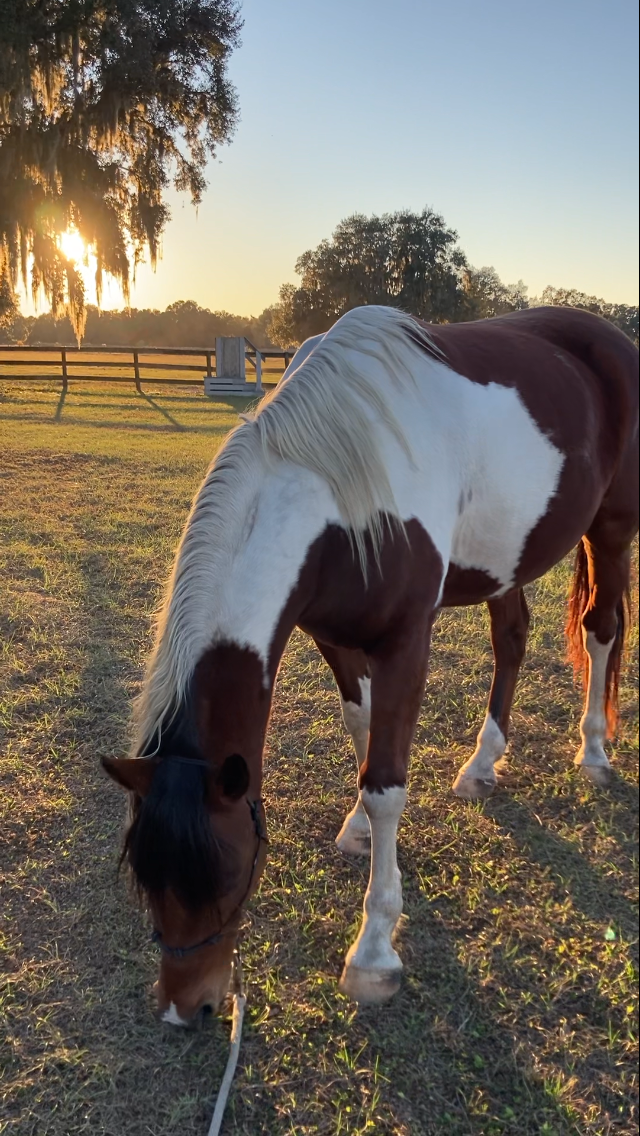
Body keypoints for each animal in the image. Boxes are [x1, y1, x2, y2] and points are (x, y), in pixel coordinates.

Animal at [103, 304, 638, 1027]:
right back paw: (481, 765)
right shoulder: (331, 635)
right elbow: (360, 731)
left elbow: (385, 782)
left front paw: (374, 952)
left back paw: (594, 753)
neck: (337, 485)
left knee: (602, 631)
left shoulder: (406, 642)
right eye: (145, 879)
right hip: (507, 558)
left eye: (227, 874)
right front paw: (358, 831)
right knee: (512, 639)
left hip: (611, 527)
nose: (189, 1008)